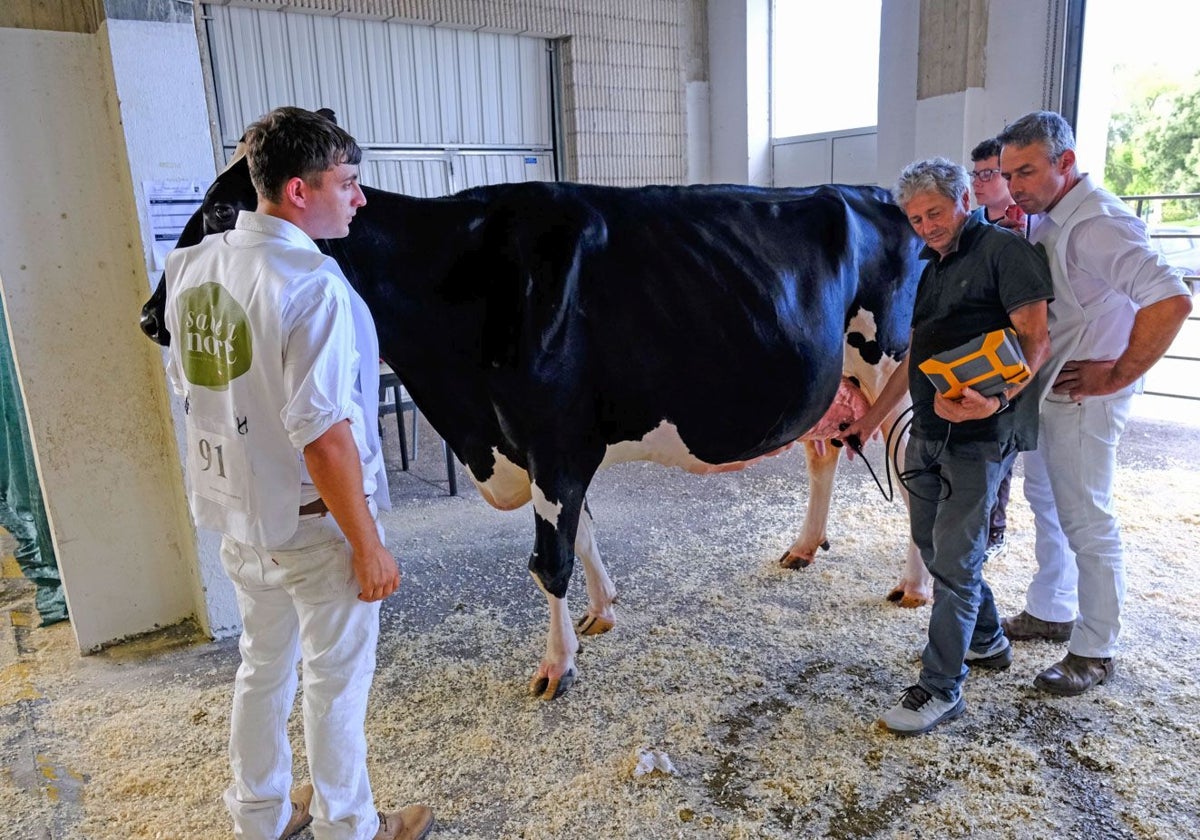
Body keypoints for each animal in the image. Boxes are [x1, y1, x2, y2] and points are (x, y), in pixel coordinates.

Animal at [140, 152, 931, 700]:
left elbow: (548, 560)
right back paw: (803, 545)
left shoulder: (553, 440)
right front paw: (602, 613)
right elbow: (581, 535)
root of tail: (879, 195)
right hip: (829, 386)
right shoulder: (546, 448)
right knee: (823, 452)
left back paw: (913, 586)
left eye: (220, 210)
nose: (150, 319)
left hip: (899, 367)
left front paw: (556, 666)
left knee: (916, 474)